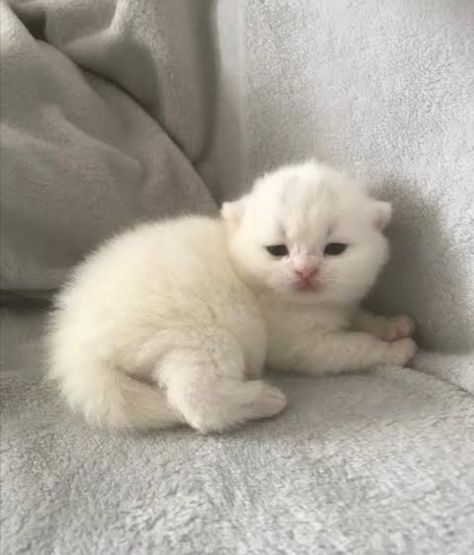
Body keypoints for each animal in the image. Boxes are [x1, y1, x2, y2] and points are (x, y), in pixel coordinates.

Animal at [48, 162, 416, 434]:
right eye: (277, 250)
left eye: (334, 249)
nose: (305, 272)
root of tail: (73, 347)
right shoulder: (301, 344)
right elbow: (354, 346)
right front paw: (395, 350)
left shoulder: (341, 303)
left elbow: (361, 316)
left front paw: (392, 325)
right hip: (200, 335)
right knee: (196, 401)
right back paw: (263, 401)